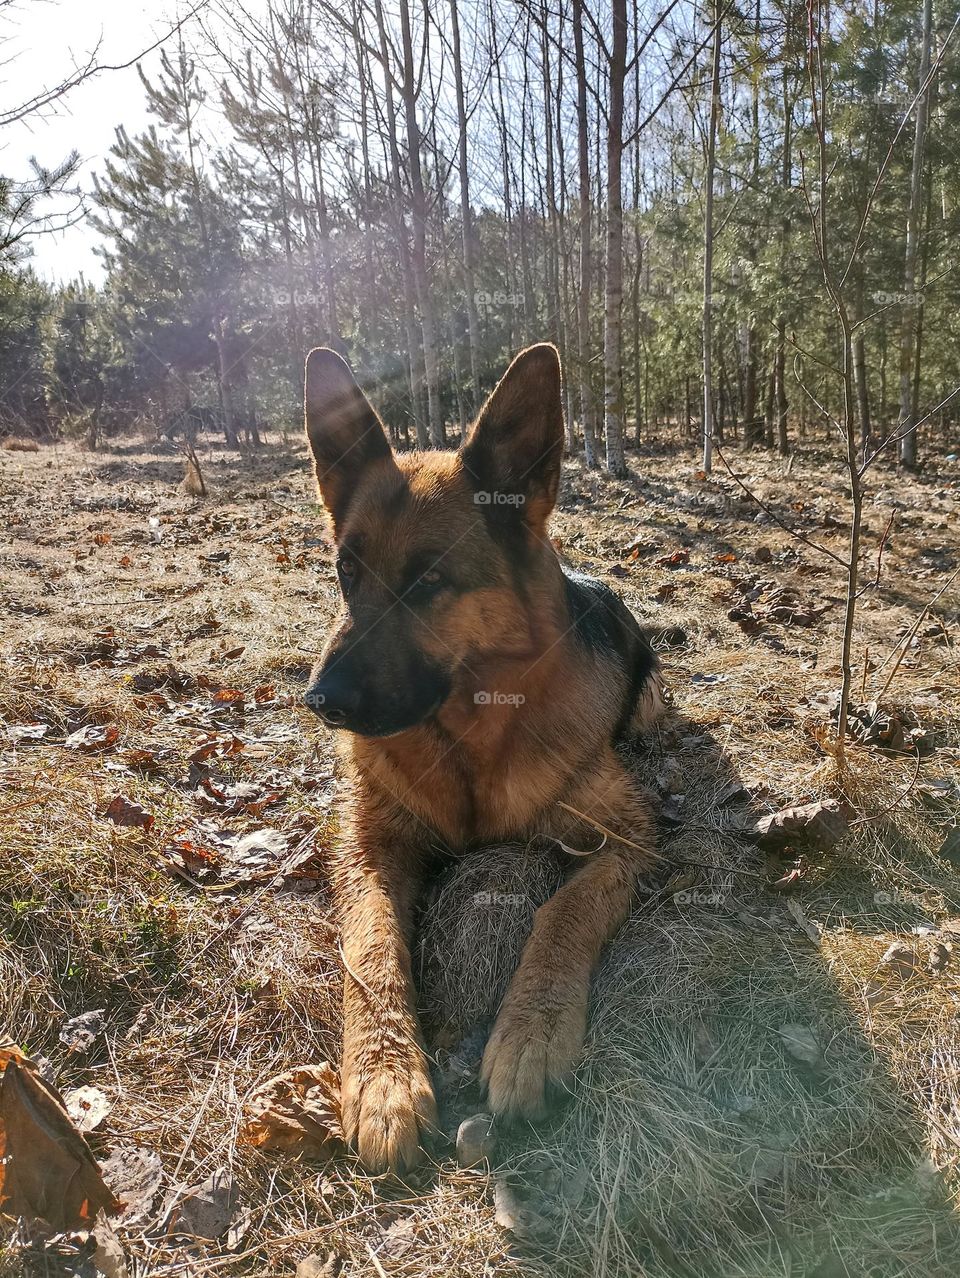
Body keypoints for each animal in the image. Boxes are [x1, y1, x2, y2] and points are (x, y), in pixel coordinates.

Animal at [304, 345, 664, 1170]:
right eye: (346, 572)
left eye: (430, 581)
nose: (320, 701)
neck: (472, 738)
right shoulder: (366, 847)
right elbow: (373, 943)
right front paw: (384, 1076)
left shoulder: (630, 839)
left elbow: (562, 912)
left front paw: (531, 1033)